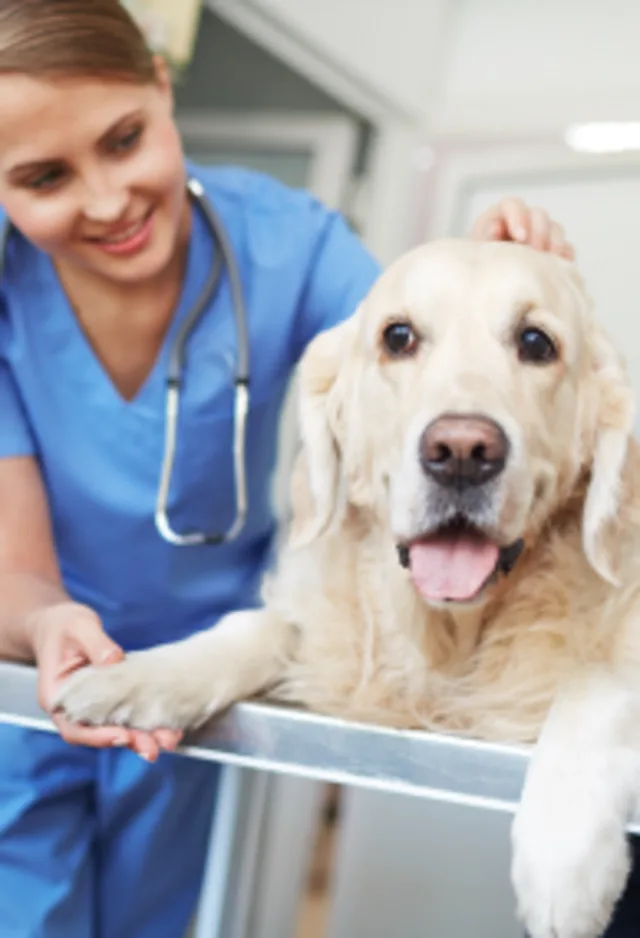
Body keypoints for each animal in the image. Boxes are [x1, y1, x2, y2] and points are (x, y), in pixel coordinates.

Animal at [53, 239, 640, 936]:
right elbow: (256, 626)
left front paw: (562, 863)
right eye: (398, 336)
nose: (462, 451)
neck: (448, 632)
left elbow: (593, 683)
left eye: (536, 342)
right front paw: (138, 676)